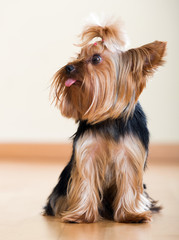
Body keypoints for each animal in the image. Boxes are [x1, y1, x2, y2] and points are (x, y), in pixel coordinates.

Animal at [43, 18, 166, 223]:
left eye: (96, 59)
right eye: (78, 55)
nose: (69, 67)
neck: (108, 118)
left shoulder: (130, 155)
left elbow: (129, 185)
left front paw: (131, 214)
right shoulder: (87, 153)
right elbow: (85, 182)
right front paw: (81, 214)